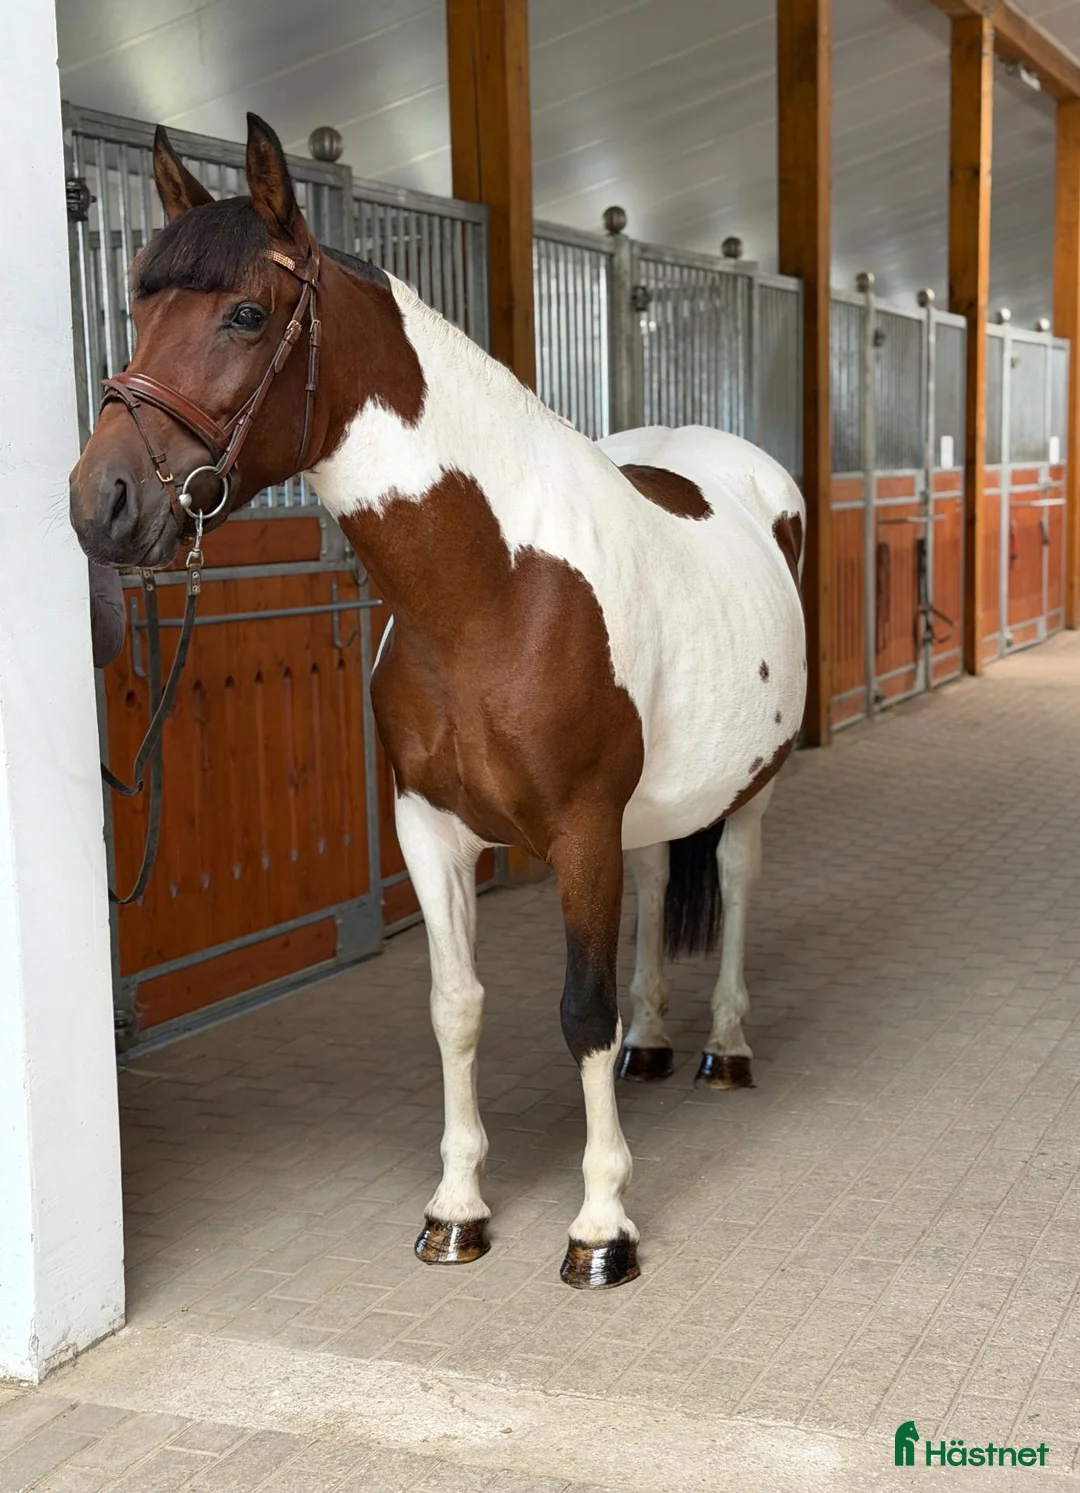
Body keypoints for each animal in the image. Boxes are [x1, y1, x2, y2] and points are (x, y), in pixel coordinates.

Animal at [68, 113, 806, 1290]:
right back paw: (656, 1040)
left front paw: (601, 1226)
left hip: (752, 783)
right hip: (652, 803)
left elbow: (580, 1011)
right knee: (659, 885)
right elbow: (455, 1009)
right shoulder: (428, 825)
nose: (104, 501)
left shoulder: (581, 831)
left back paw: (724, 1048)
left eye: (245, 312)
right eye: (137, 308)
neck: (495, 589)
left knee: (734, 879)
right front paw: (457, 1209)